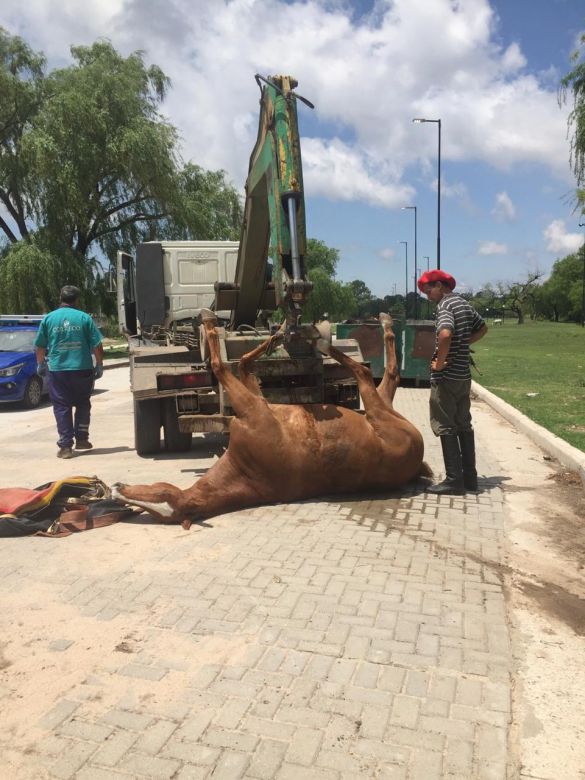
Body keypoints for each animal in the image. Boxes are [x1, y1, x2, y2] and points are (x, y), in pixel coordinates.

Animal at [113, 314, 424, 528]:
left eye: (157, 500)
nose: (117, 490)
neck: (247, 468)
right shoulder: (254, 400)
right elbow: (240, 364)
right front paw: (274, 333)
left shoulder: (253, 404)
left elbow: (229, 364)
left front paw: (269, 331)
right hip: (379, 406)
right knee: (381, 374)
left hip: (377, 407)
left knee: (369, 370)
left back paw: (335, 335)